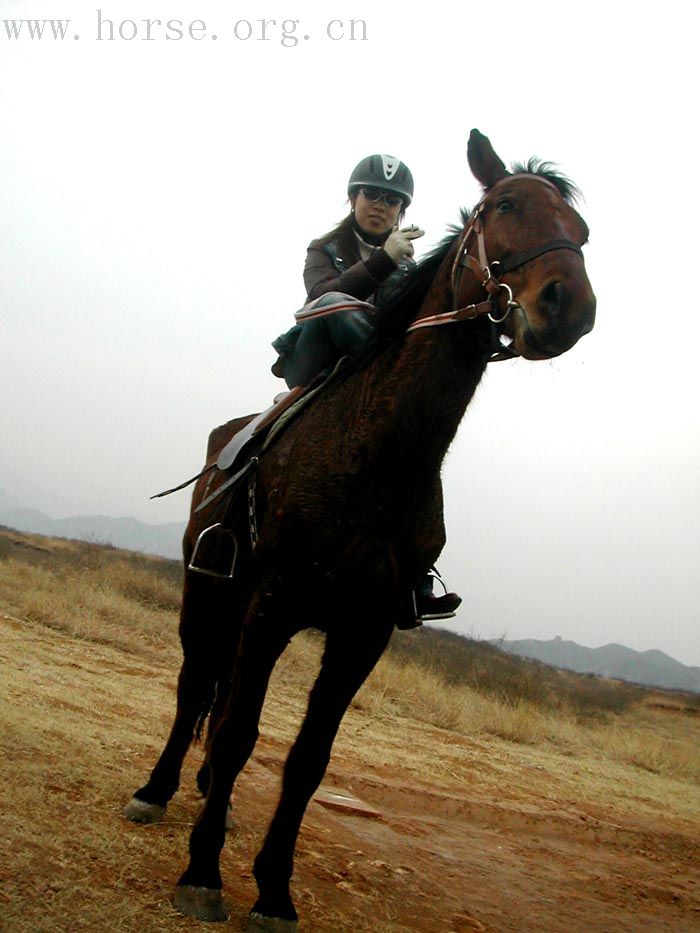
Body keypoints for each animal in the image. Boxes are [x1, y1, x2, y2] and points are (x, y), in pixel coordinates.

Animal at [124, 129, 596, 924]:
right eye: (505, 204)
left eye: (582, 229)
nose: (570, 306)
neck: (377, 456)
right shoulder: (272, 603)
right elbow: (239, 728)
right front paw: (204, 873)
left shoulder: (364, 629)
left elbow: (309, 758)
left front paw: (274, 890)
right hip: (209, 595)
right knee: (196, 691)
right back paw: (157, 791)